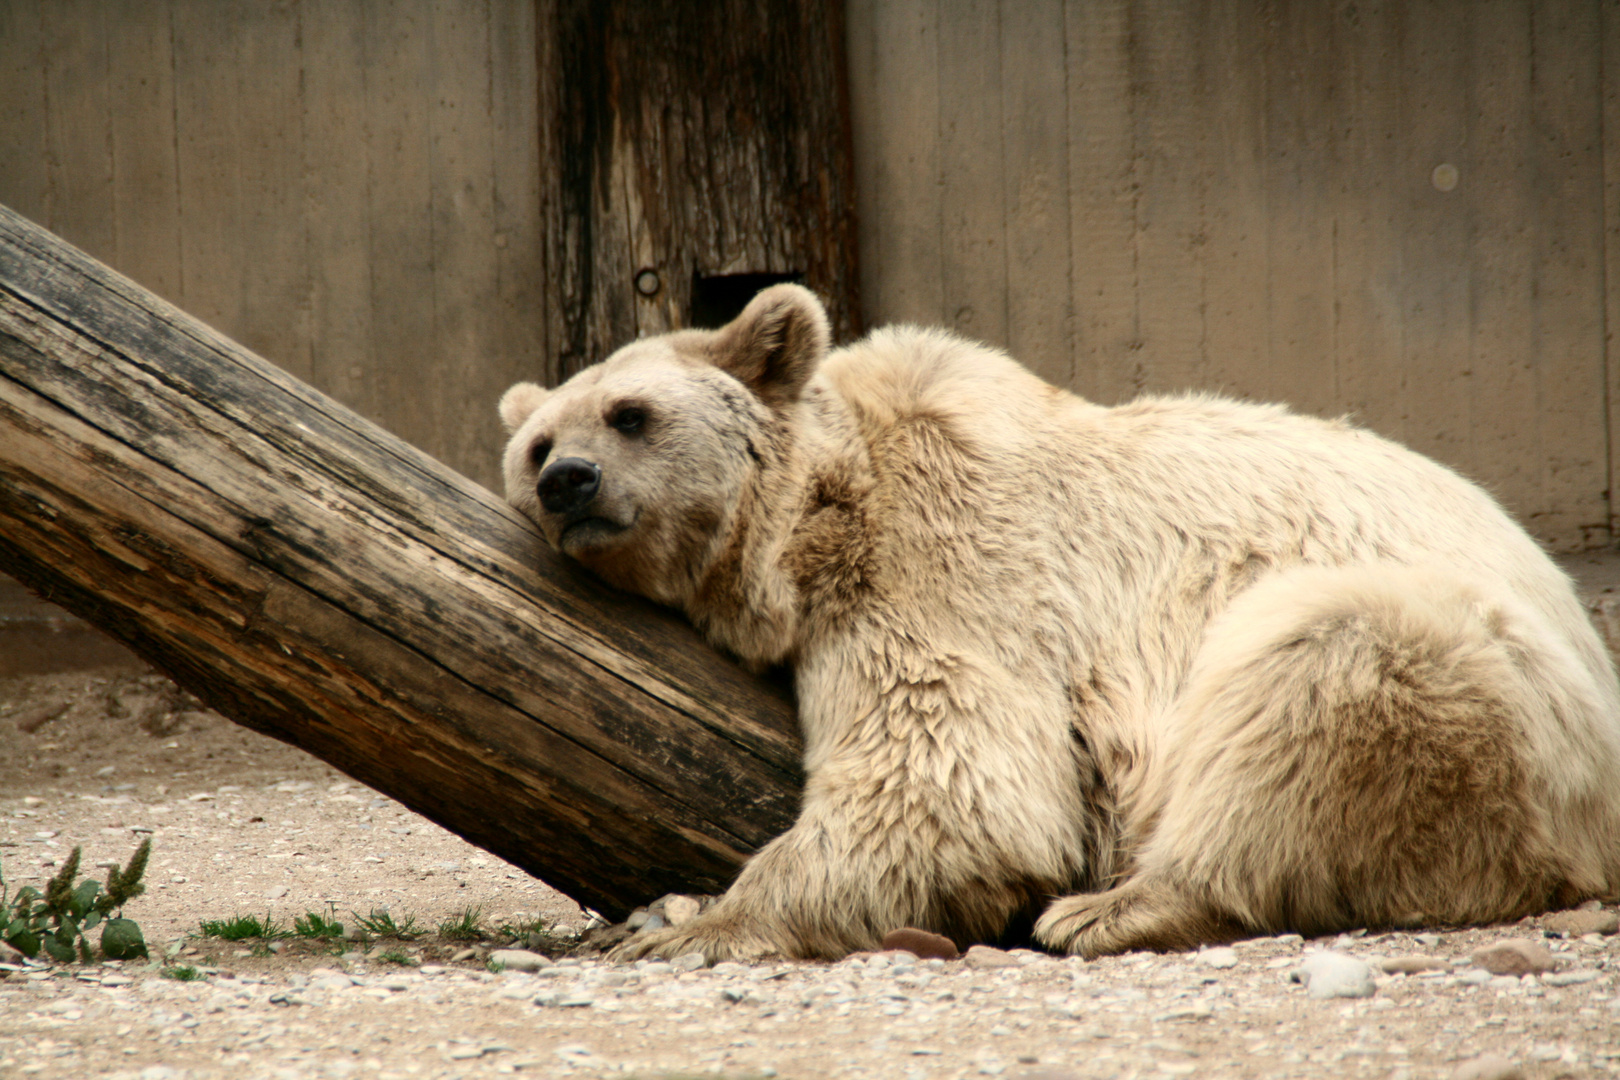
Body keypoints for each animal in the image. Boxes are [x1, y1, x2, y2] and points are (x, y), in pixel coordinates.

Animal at [498, 283, 1620, 958]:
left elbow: (954, 779)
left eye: (632, 414)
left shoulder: (946, 560)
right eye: (538, 439)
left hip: (1488, 687)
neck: (820, 513)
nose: (567, 481)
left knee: (1320, 670)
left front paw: (689, 922)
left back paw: (1116, 904)